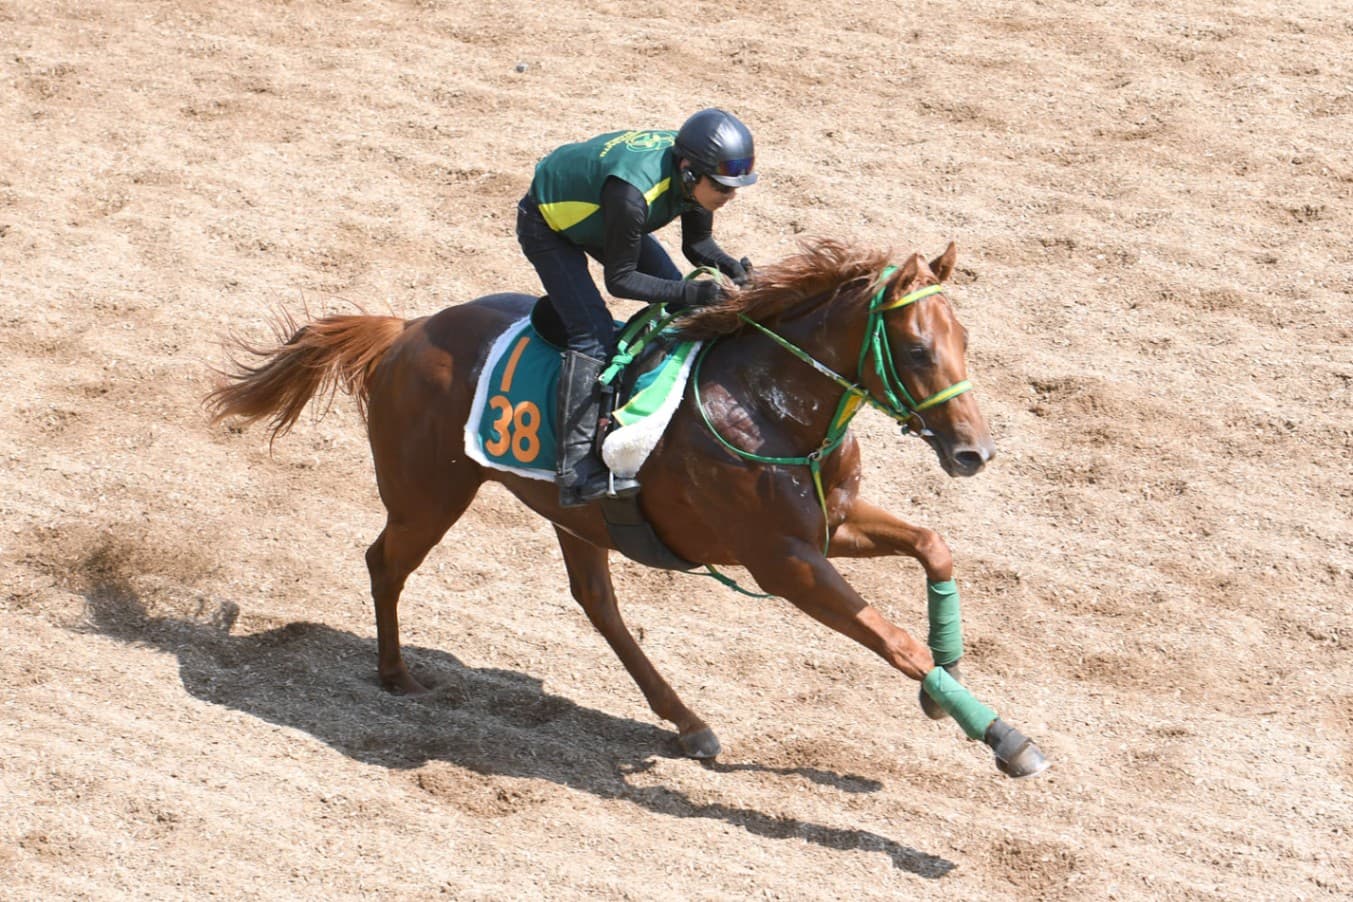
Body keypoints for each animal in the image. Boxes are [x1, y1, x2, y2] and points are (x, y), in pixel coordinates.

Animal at [206, 238, 1048, 779]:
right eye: (916, 350)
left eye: (965, 341)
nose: (974, 451)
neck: (771, 409)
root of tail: (405, 331)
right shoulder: (783, 562)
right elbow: (890, 637)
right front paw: (1001, 736)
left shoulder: (829, 525)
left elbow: (933, 544)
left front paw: (945, 675)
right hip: (429, 495)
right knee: (385, 562)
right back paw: (395, 674)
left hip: (573, 516)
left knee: (596, 603)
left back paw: (688, 722)